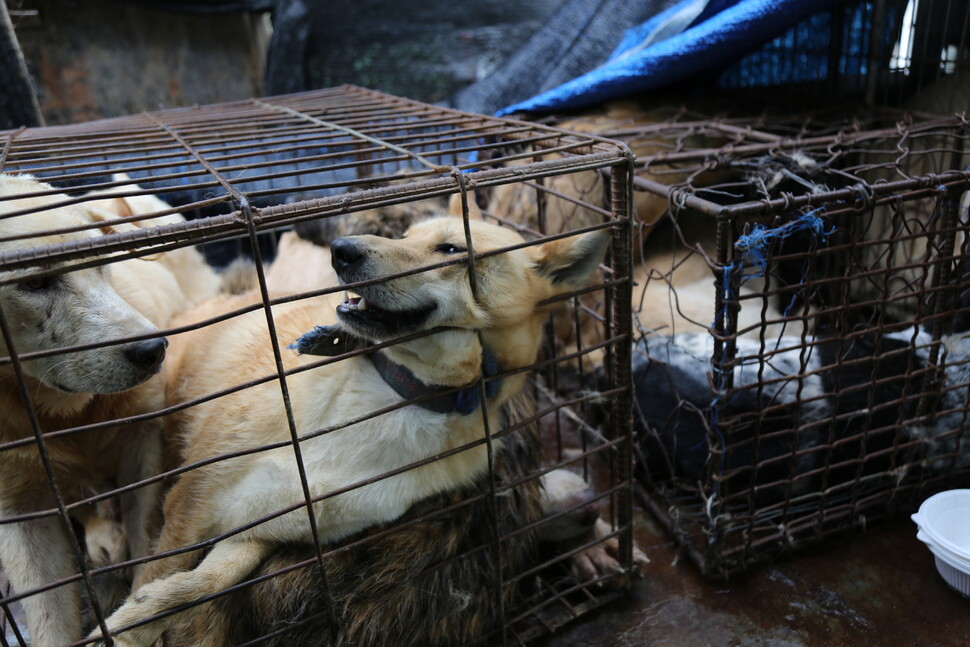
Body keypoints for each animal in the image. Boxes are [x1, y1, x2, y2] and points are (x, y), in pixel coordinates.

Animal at [0, 173, 217, 647]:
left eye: (103, 265)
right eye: (35, 284)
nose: (152, 350)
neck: (67, 416)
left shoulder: (143, 445)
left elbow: (146, 543)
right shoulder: (16, 507)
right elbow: (48, 616)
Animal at [92, 215, 604, 644]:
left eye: (451, 248)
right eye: (405, 235)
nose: (341, 250)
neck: (400, 397)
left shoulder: (266, 531)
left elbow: (206, 583)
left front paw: (150, 612)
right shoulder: (192, 505)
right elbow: (161, 570)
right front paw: (132, 621)